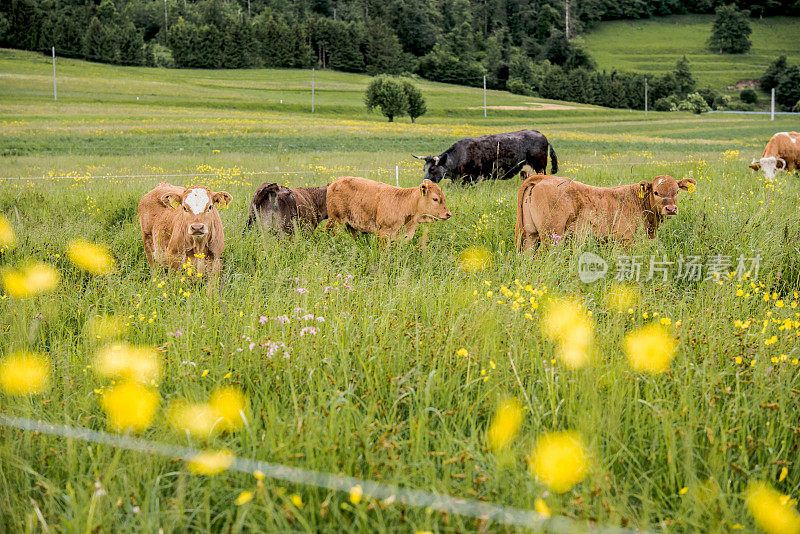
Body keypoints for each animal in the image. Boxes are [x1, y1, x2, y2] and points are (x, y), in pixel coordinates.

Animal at [520, 171, 692, 252]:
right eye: (656, 192)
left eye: (677, 191)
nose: (671, 209)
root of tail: (545, 178)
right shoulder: (626, 240)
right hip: (551, 235)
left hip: (530, 234)